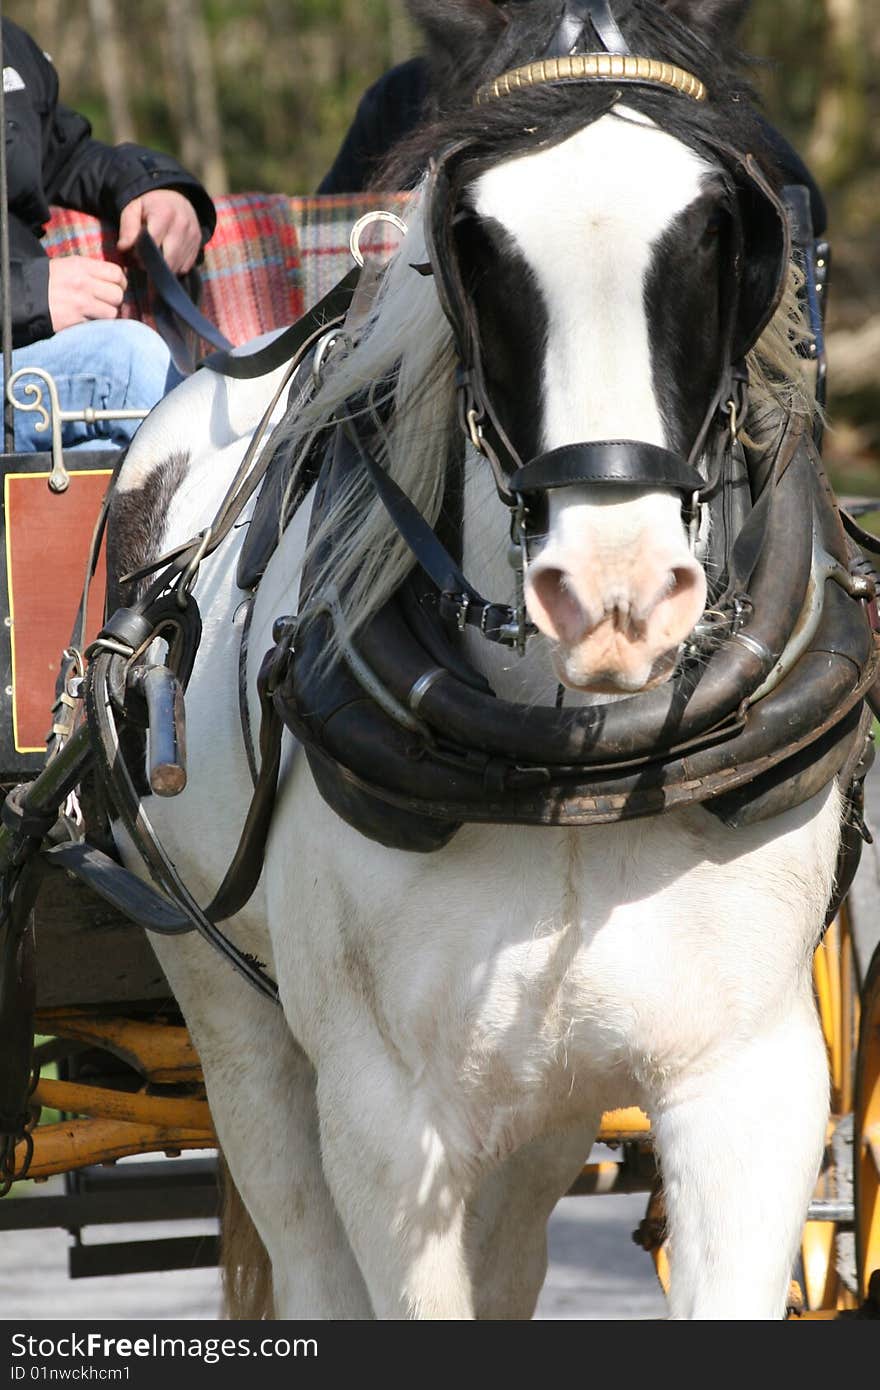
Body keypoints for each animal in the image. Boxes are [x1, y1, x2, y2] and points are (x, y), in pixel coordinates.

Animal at [106, 0, 834, 1317]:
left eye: (723, 231)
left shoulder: (747, 1081)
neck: (571, 768)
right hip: (223, 997)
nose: (613, 593)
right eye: (471, 241)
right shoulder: (387, 1116)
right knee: (301, 1237)